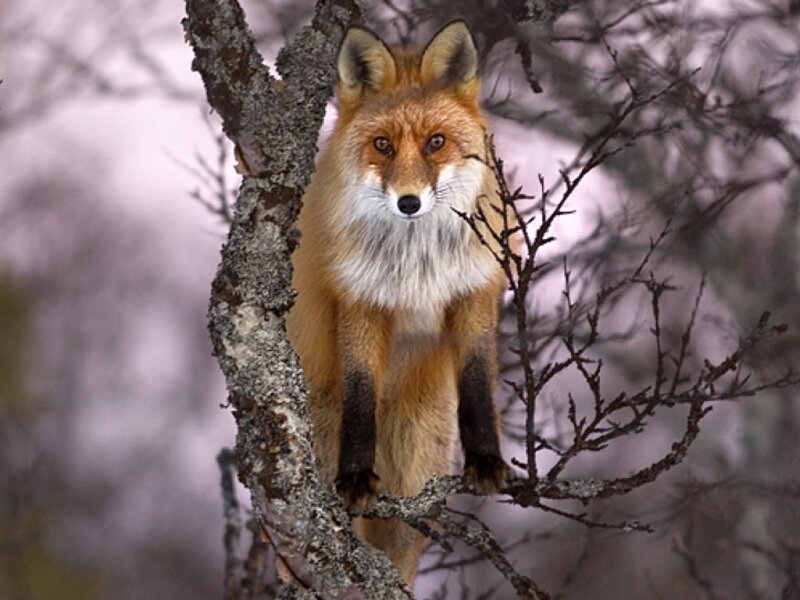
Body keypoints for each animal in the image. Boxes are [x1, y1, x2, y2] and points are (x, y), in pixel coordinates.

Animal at [286, 20, 512, 585]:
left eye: (436, 143)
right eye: (383, 145)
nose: (409, 202)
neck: (416, 266)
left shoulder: (474, 290)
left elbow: (477, 381)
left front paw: (486, 460)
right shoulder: (360, 299)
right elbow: (360, 391)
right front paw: (355, 475)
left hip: (418, 466)